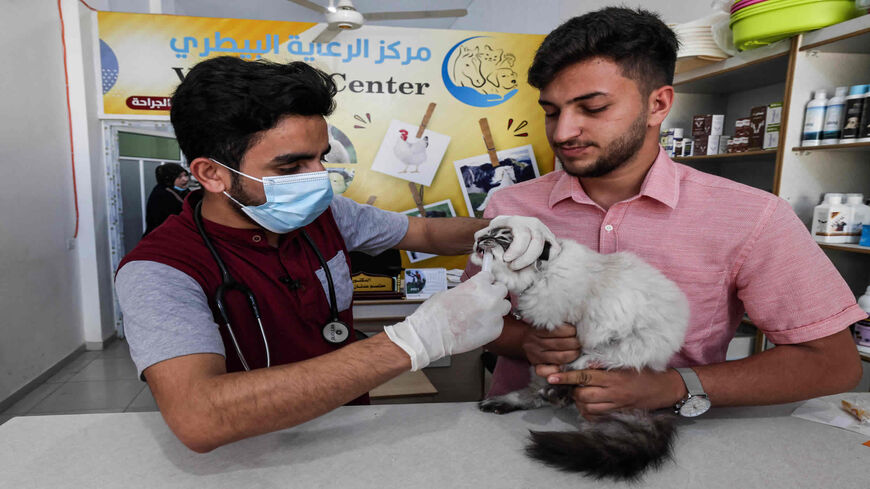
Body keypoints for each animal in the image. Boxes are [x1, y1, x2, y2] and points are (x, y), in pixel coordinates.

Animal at [474, 227, 692, 478]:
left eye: (502, 239)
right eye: (487, 233)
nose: (481, 240)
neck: (542, 275)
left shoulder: (579, 322)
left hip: (624, 350)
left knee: (580, 372)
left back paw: (557, 392)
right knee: (536, 392)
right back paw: (506, 401)